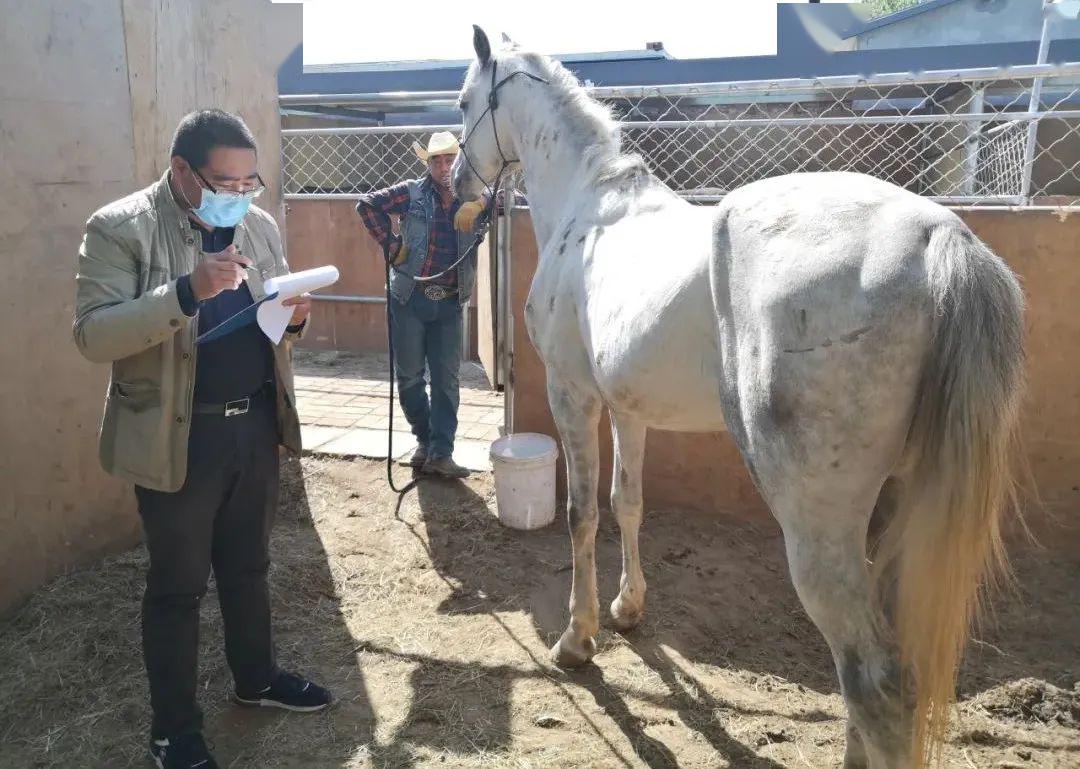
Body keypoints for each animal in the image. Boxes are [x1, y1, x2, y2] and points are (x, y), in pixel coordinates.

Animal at [451, 27, 1023, 764]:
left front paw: (577, 640)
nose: (457, 181)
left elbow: (581, 513)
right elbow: (627, 502)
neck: (590, 208)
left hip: (815, 521)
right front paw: (627, 609)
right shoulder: (629, 408)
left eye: (465, 101)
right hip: (899, 506)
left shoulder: (573, 394)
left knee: (873, 679)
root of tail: (937, 239)